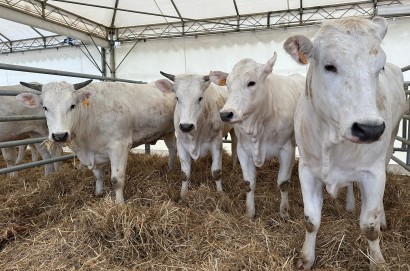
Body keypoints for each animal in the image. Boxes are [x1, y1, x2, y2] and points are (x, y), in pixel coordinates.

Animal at [16, 79, 177, 203]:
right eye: (45, 107)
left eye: (72, 105)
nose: (60, 136)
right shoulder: (93, 152)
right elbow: (98, 175)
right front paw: (98, 193)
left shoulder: (119, 146)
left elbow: (116, 179)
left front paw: (119, 204)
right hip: (168, 132)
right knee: (172, 149)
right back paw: (170, 169)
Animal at [154, 72, 237, 200]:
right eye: (177, 98)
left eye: (200, 98)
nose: (186, 126)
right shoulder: (181, 144)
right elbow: (185, 173)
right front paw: (183, 195)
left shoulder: (216, 143)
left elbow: (216, 171)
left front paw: (220, 193)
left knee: (234, 149)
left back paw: (233, 169)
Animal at [210, 52, 306, 219]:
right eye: (228, 85)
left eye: (251, 83)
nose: (225, 114)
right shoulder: (243, 151)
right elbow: (249, 183)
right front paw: (250, 212)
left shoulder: (287, 149)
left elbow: (283, 182)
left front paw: (284, 211)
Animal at [284, 17, 408, 270]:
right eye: (329, 66)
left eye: (379, 67)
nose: (370, 128)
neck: (332, 138)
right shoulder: (307, 170)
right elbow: (311, 220)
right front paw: (306, 258)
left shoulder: (373, 173)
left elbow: (369, 227)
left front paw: (377, 261)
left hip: (390, 141)